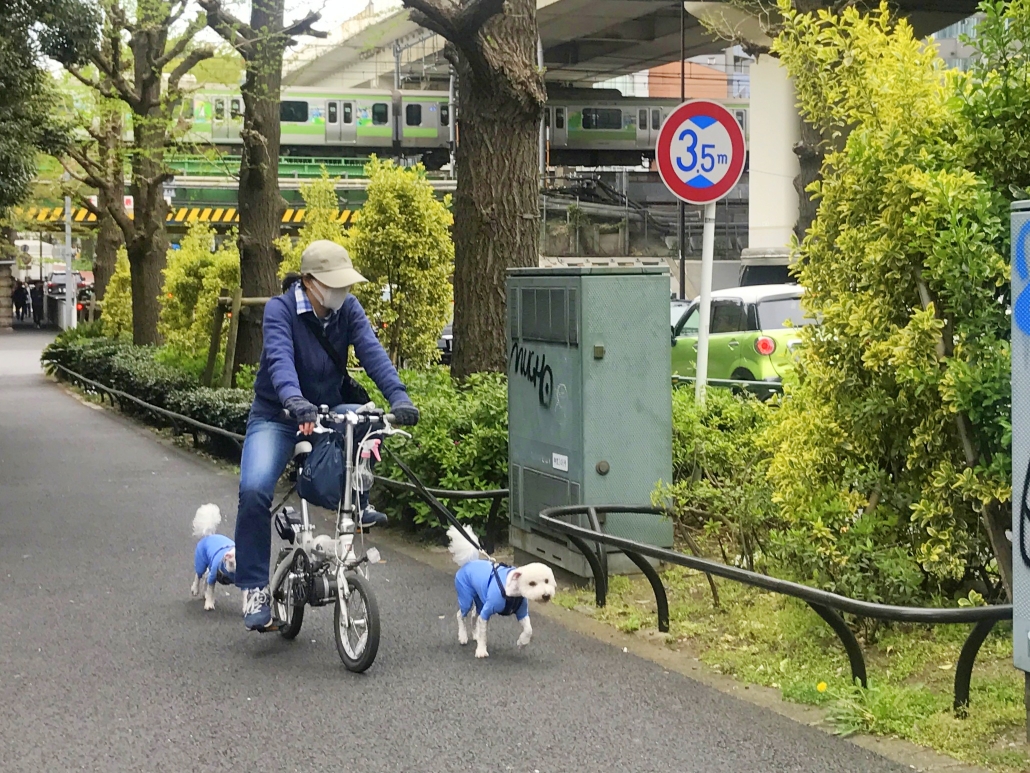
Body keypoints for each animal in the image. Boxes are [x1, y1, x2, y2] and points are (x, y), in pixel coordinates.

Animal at [442, 527, 556, 659]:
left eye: (547, 581)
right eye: (532, 583)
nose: (546, 595)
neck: (512, 593)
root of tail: (469, 563)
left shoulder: (522, 613)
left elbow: (529, 630)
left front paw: (522, 642)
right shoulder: (486, 612)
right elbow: (483, 634)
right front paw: (481, 650)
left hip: (480, 601)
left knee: (474, 615)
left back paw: (475, 634)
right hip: (466, 598)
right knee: (460, 615)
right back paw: (463, 636)